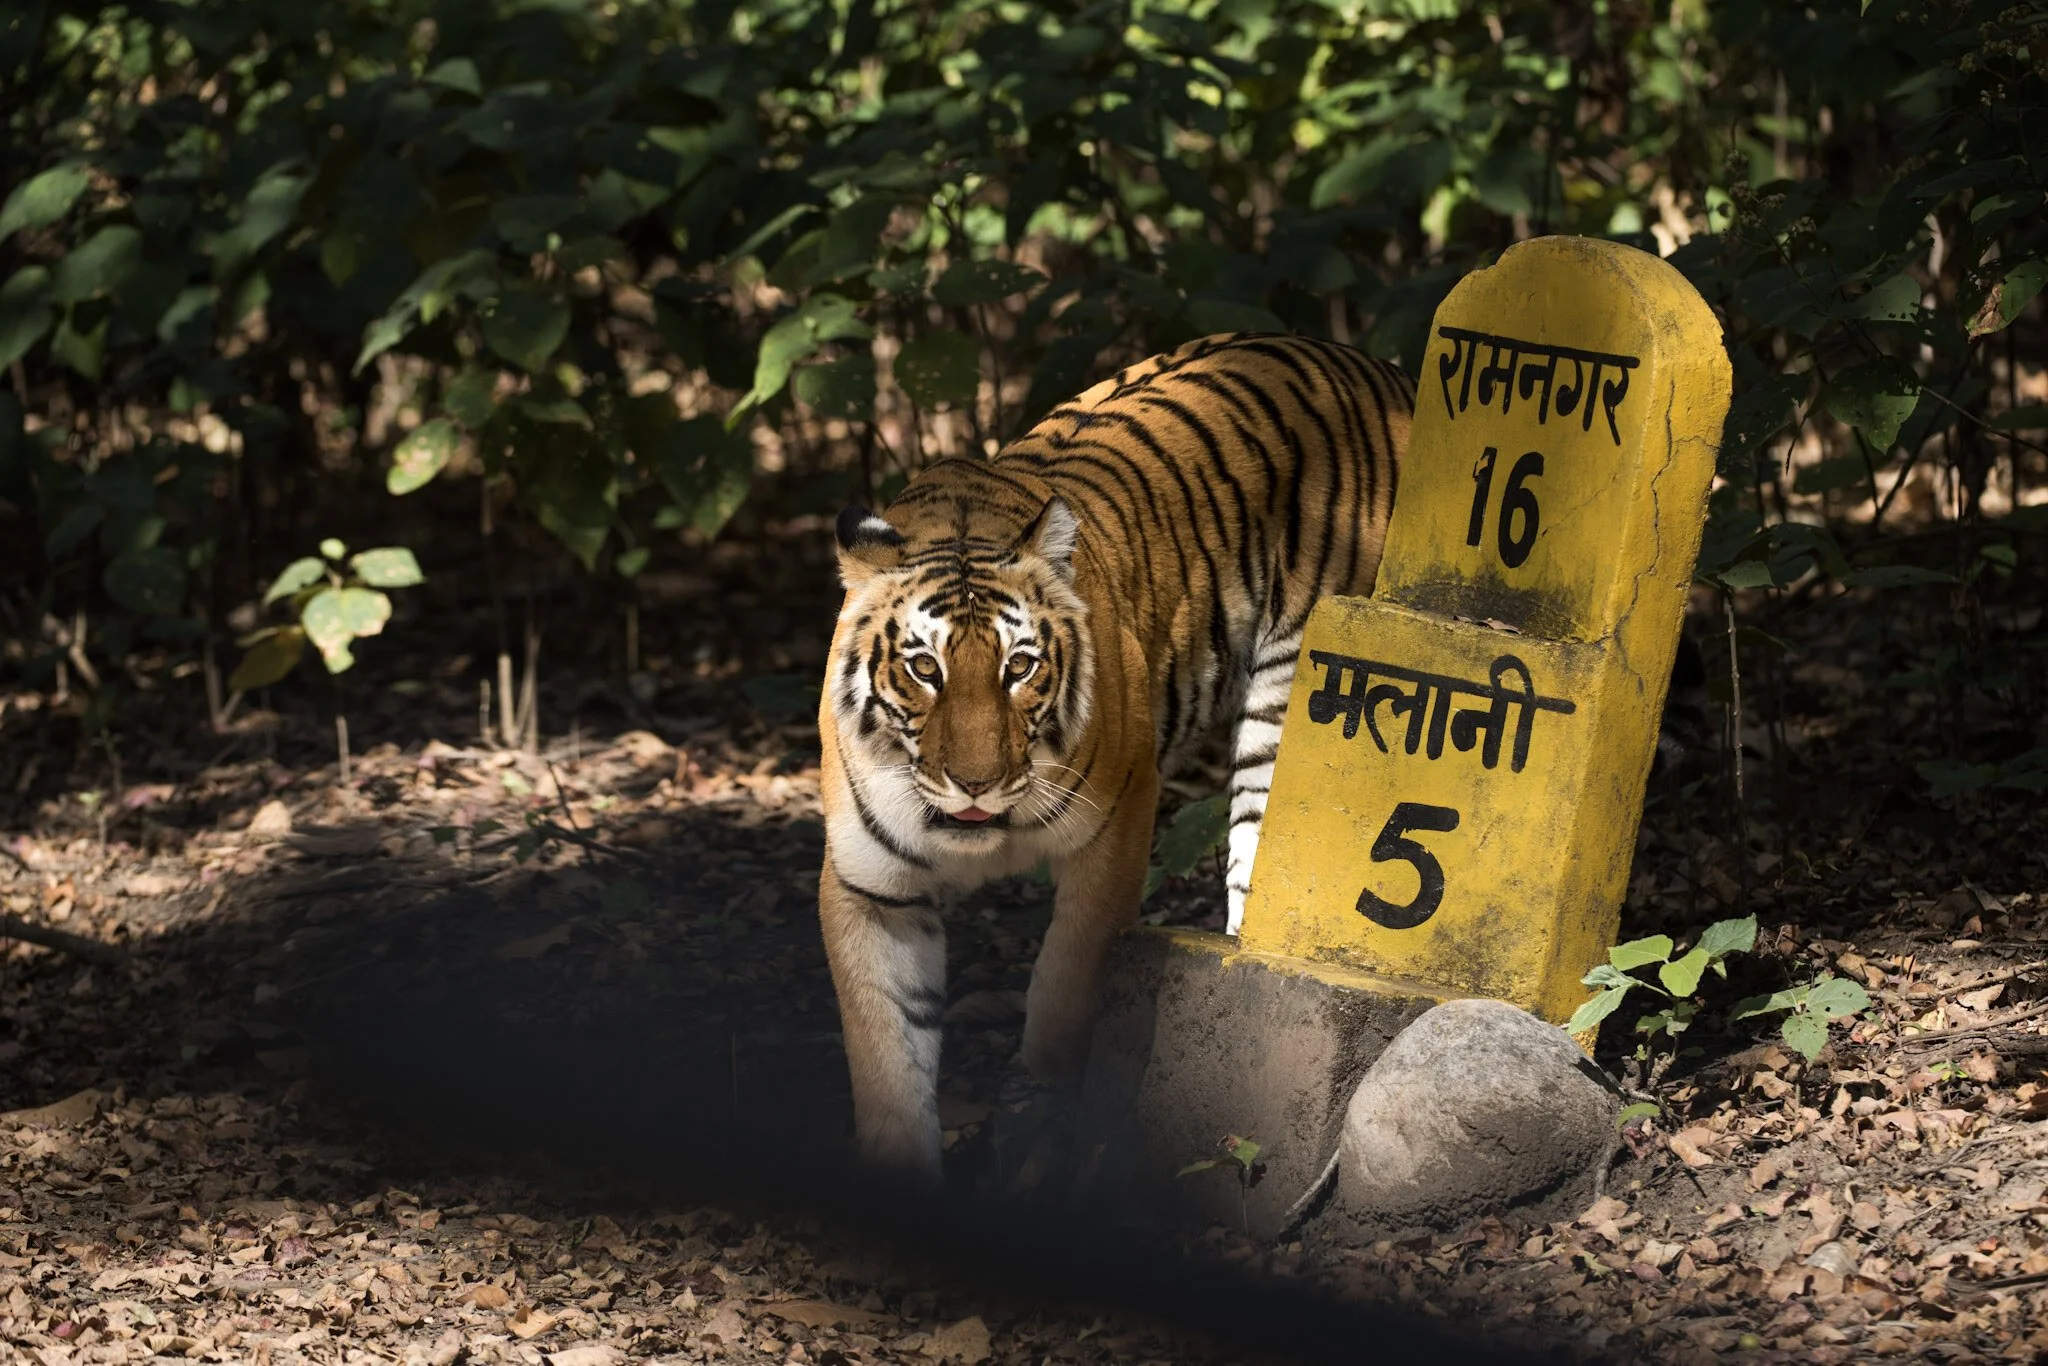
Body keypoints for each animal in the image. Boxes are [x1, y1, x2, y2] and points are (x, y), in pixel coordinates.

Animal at [817, 331, 1416, 1177]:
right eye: (924, 669)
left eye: (1020, 667)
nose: (976, 785)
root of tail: (1366, 363)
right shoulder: (870, 887)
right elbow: (885, 1054)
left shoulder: (1118, 825)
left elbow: (1064, 993)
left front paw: (1036, 1123)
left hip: (1297, 700)